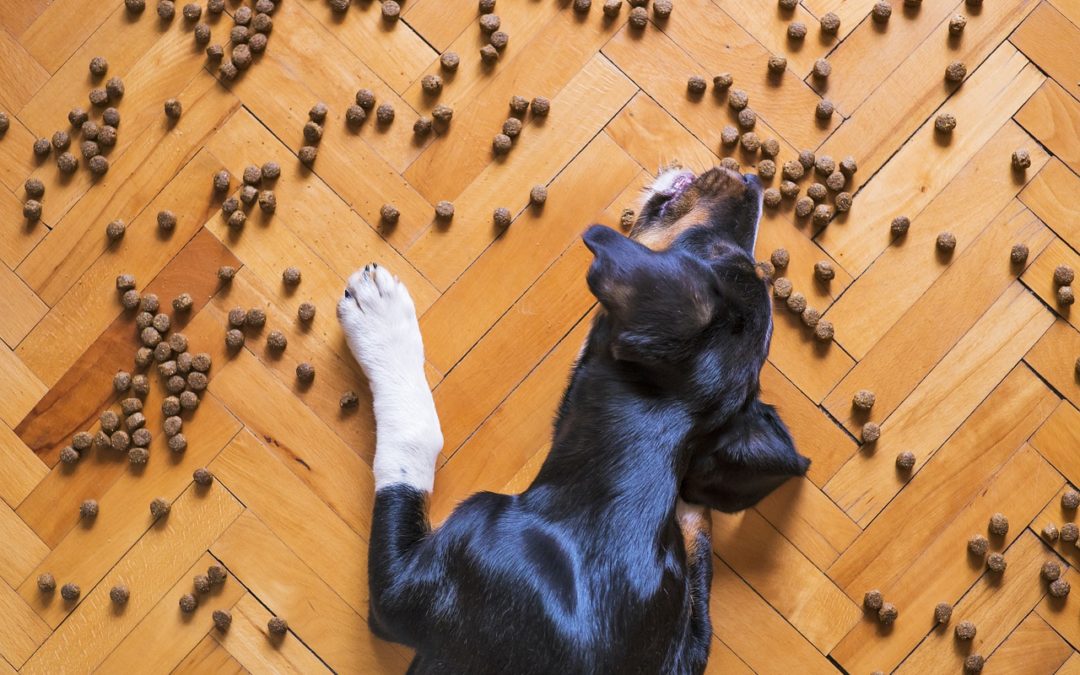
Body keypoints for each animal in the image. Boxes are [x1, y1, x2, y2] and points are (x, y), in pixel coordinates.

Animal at [336, 164, 812, 673]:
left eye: (710, 252)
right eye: (731, 255)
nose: (750, 180)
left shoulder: (402, 593)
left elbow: (414, 443)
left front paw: (380, 318)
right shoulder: (688, 638)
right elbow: (696, 564)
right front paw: (691, 507)